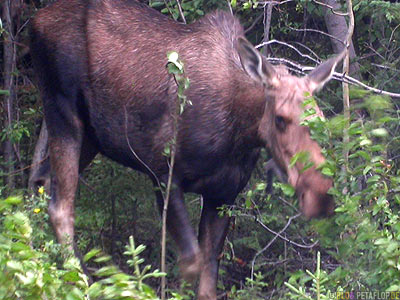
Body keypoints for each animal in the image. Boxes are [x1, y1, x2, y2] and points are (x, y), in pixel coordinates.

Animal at [30, 1, 340, 298]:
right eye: (280, 118)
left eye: (321, 119)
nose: (320, 193)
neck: (240, 132)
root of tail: (35, 21)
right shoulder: (163, 174)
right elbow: (191, 262)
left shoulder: (223, 195)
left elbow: (208, 278)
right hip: (62, 110)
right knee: (60, 206)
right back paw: (81, 281)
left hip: (92, 138)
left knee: (41, 181)